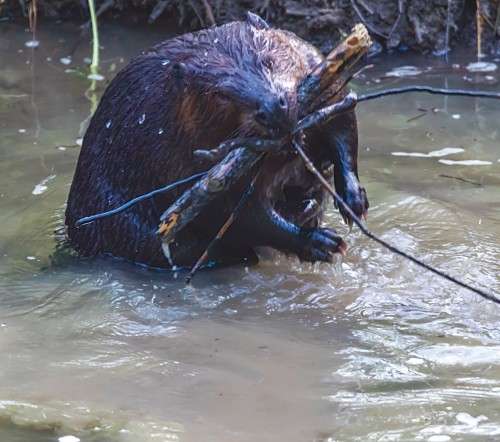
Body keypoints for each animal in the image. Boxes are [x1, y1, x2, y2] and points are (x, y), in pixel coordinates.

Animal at [65, 12, 368, 270]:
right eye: (222, 94)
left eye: (267, 60)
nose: (273, 109)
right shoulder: (175, 153)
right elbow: (232, 214)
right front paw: (322, 242)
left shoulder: (315, 64)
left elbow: (342, 119)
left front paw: (354, 201)